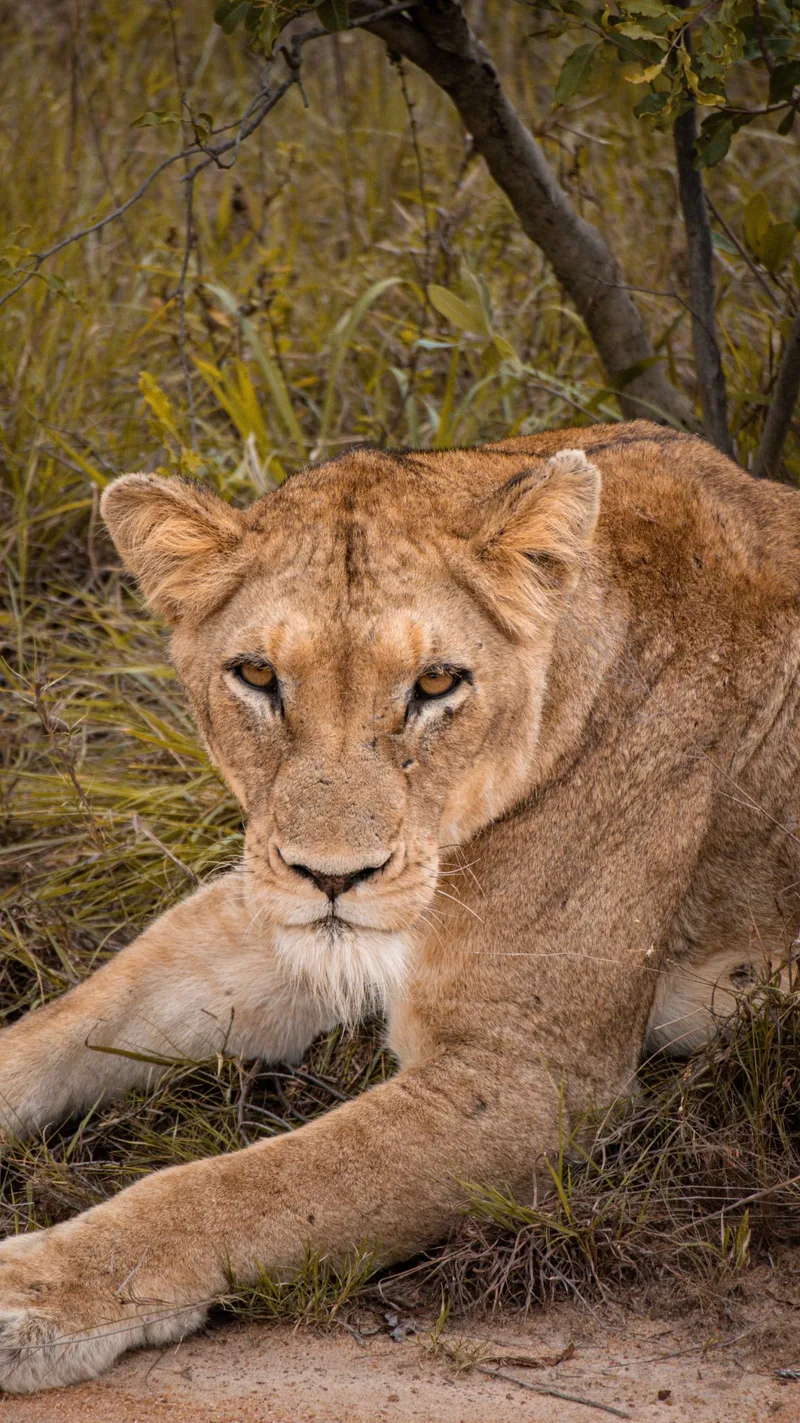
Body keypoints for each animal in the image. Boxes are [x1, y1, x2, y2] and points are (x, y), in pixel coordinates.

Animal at [0, 420, 798, 1392]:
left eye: (437, 683)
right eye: (256, 673)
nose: (333, 877)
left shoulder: (531, 1076)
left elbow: (244, 1187)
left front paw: (34, 1288)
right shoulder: (276, 920)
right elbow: (64, 1026)